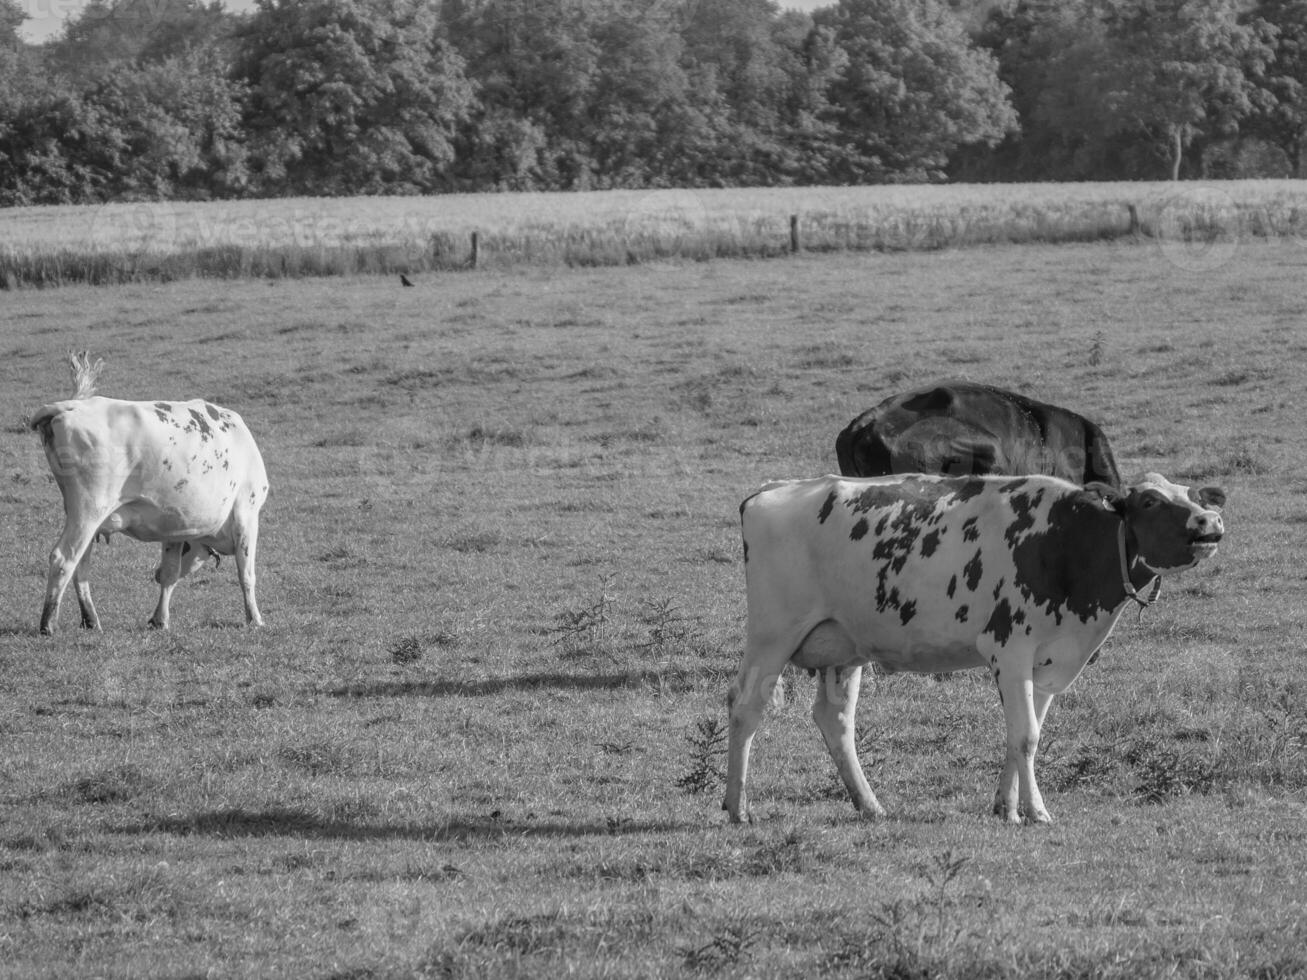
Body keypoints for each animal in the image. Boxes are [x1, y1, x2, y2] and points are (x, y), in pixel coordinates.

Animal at [29, 352, 269, 637]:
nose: (153, 573)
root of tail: (70, 405)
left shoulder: (176, 525)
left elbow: (170, 573)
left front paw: (160, 619)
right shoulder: (247, 513)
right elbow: (247, 574)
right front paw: (255, 618)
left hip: (81, 514)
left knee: (81, 565)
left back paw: (91, 619)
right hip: (89, 508)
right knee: (63, 558)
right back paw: (48, 623)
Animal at [726, 473, 1223, 825]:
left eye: (1192, 494)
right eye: (1150, 501)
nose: (1210, 521)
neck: (1065, 543)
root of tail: (772, 489)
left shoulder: (1048, 664)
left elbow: (1023, 734)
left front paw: (1006, 807)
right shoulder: (1010, 649)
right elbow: (1026, 736)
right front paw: (1036, 812)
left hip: (842, 649)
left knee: (836, 720)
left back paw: (870, 805)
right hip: (773, 633)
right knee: (745, 707)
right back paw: (737, 807)